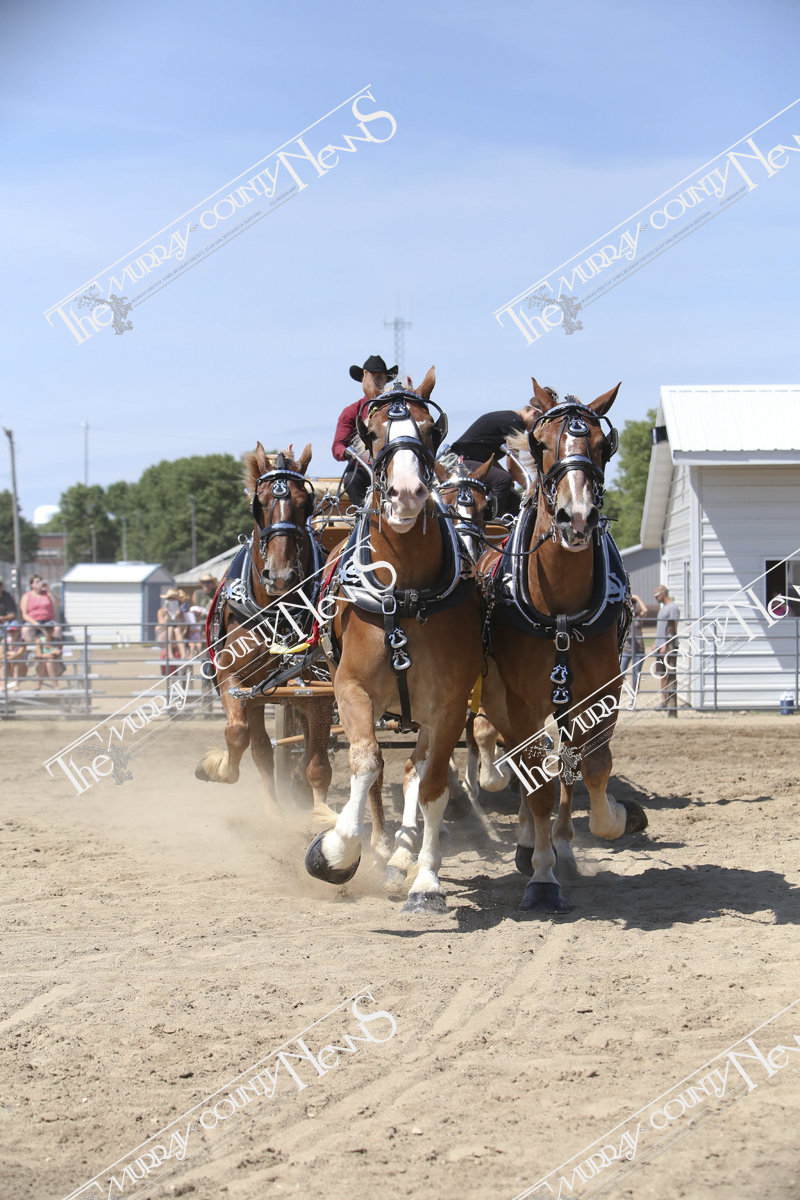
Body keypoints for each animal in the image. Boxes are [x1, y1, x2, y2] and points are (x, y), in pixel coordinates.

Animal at [195, 443, 336, 818]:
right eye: (257, 504)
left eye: (306, 504)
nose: (281, 575)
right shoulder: (235, 680)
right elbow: (239, 734)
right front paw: (218, 768)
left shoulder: (320, 690)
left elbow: (318, 761)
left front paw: (320, 811)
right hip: (260, 696)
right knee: (260, 747)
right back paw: (273, 807)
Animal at [303, 369, 484, 913]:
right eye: (373, 431)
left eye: (430, 429)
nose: (407, 493)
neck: (404, 592)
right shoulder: (351, 689)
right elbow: (365, 763)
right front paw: (336, 851)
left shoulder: (450, 705)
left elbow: (432, 787)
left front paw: (426, 880)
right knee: (383, 768)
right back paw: (385, 848)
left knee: (414, 769)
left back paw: (402, 856)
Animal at [479, 379, 647, 914]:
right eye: (542, 443)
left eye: (602, 445)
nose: (578, 517)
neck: (560, 607)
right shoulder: (522, 700)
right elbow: (536, 781)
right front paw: (542, 877)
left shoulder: (603, 689)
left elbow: (591, 766)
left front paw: (616, 818)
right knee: (520, 762)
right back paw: (530, 844)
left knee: (568, 763)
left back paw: (561, 845)